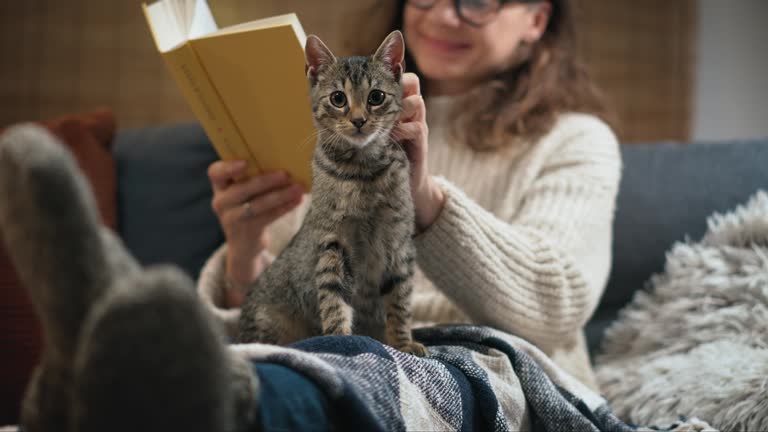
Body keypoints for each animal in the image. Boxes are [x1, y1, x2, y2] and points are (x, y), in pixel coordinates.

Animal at [238, 30, 426, 358]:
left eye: (376, 97)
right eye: (338, 98)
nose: (359, 120)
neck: (363, 173)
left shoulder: (400, 243)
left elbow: (400, 302)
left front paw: (402, 343)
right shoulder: (332, 243)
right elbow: (333, 299)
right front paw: (341, 339)